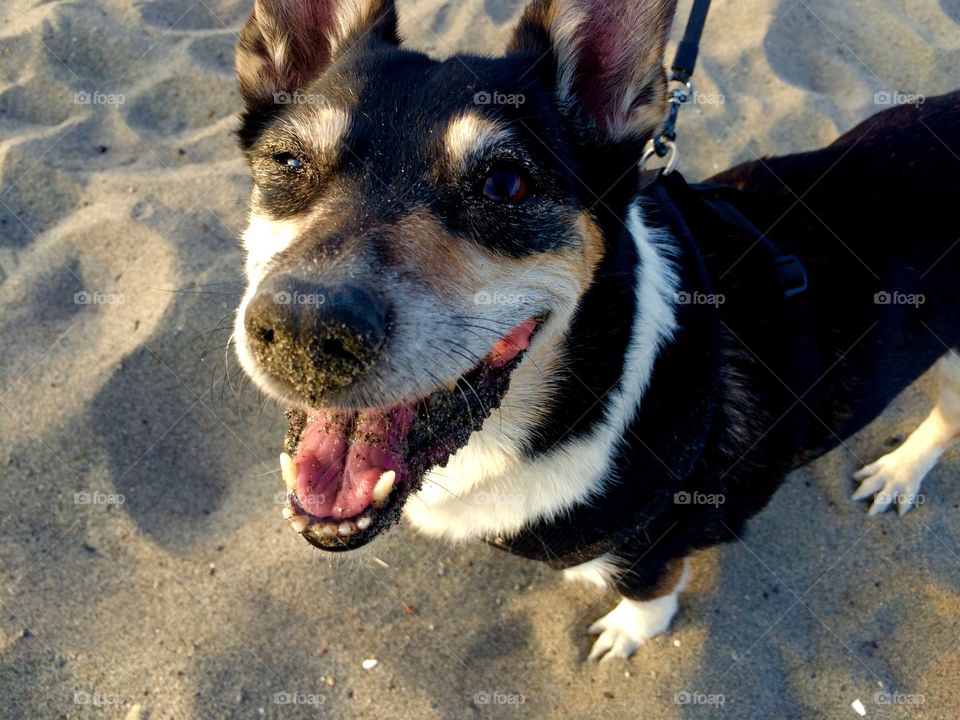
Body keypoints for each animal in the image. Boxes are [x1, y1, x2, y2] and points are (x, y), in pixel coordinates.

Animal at [232, 0, 960, 660]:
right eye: (289, 163)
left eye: (505, 183)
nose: (304, 329)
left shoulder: (654, 547)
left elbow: (649, 600)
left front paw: (627, 633)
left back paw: (898, 472)